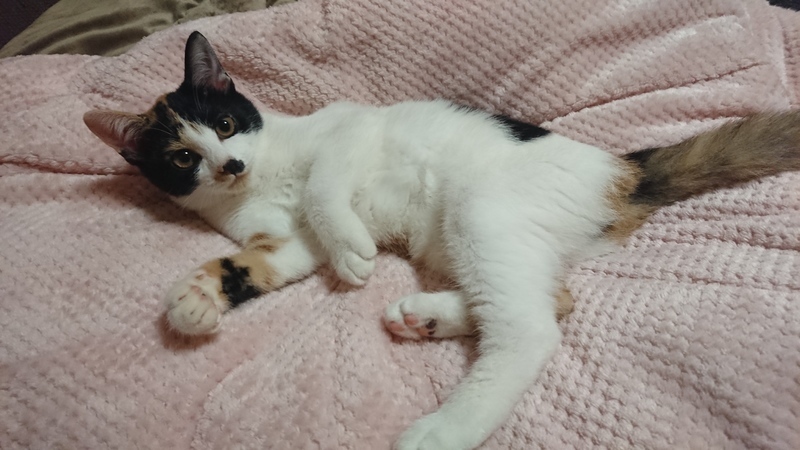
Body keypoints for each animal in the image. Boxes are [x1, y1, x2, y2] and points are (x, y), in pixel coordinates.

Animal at [83, 31, 800, 450]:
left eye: (227, 124)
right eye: (183, 157)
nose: (230, 165)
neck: (261, 180)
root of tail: (620, 170)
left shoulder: (347, 131)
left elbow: (324, 187)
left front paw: (352, 250)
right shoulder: (283, 242)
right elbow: (257, 262)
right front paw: (197, 299)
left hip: (480, 209)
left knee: (533, 327)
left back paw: (444, 428)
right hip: (470, 237)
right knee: (554, 299)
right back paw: (426, 316)